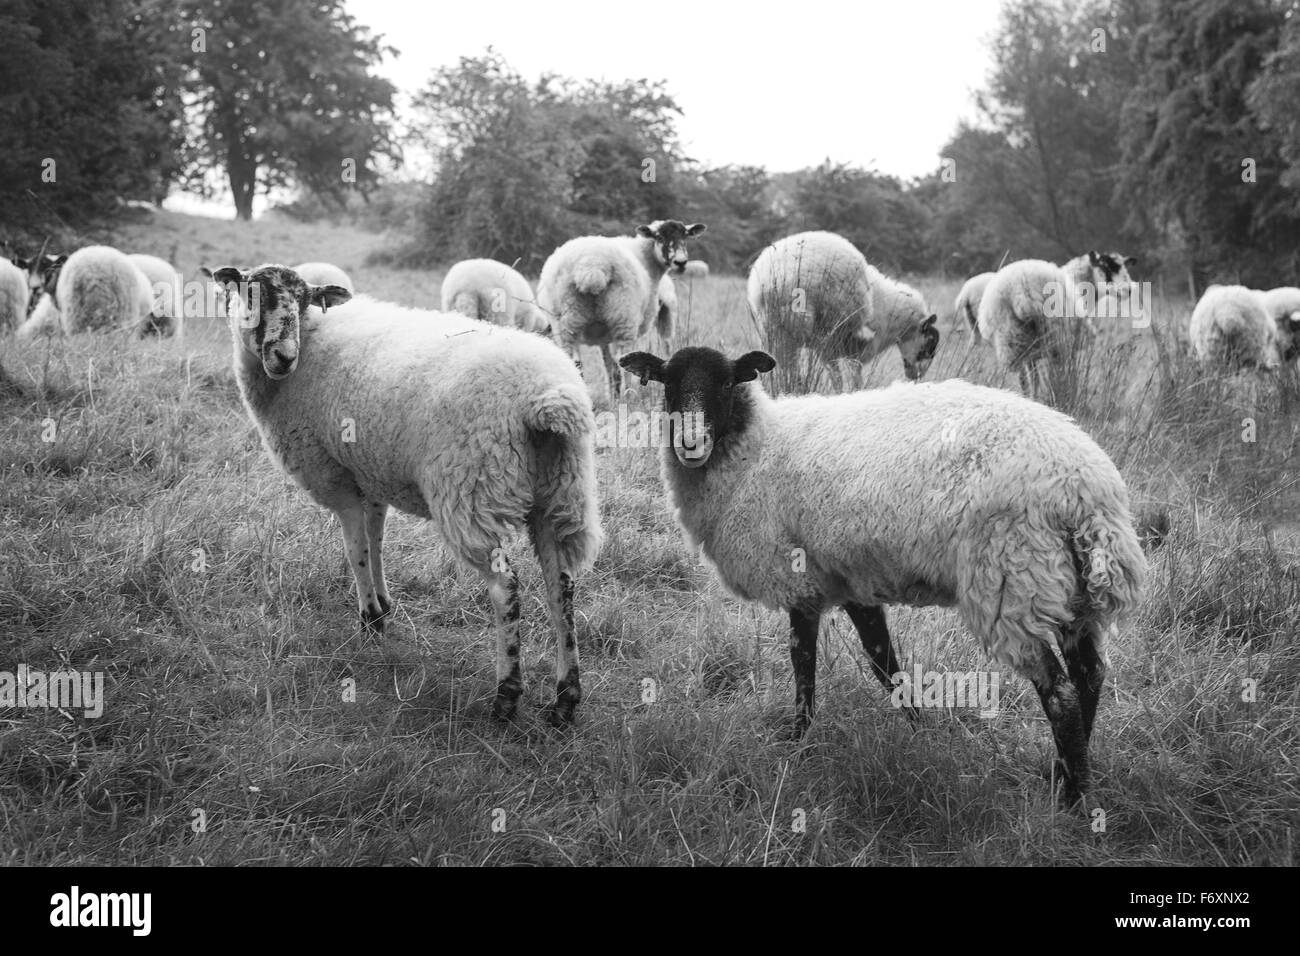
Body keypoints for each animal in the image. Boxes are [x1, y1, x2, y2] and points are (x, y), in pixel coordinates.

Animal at [211, 263, 602, 725]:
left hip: (471, 491)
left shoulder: (337, 479)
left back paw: (506, 696)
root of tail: (547, 396)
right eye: (252, 293)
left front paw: (370, 620)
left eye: (304, 300)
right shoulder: (371, 475)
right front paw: (383, 604)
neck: (311, 343)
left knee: (505, 587)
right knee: (561, 586)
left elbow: (356, 549)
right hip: (562, 493)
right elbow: (376, 541)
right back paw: (565, 698)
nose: (283, 356)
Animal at [536, 219, 706, 403]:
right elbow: (614, 367)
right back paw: (629, 396)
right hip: (624, 318)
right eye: (659, 237)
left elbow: (608, 366)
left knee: (574, 361)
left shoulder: (603, 334)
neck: (646, 261)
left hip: (566, 322)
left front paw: (612, 396)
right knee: (626, 362)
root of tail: (591, 266)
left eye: (685, 236)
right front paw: (617, 396)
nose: (681, 263)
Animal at [619, 346, 1146, 805]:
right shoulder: (851, 580)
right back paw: (1066, 773)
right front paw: (919, 730)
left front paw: (797, 743)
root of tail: (1086, 488)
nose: (690, 443)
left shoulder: (800, 581)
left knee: (1061, 695)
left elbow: (803, 665)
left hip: (1011, 582)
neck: (756, 447)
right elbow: (885, 664)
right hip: (1069, 590)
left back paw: (1071, 801)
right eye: (668, 383)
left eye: (728, 382)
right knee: (1090, 676)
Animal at [746, 231, 939, 390]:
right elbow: (851, 376)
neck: (885, 306)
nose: (916, 377)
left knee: (785, 367)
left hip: (772, 330)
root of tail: (769, 283)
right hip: (811, 329)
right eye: (930, 343)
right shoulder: (848, 344)